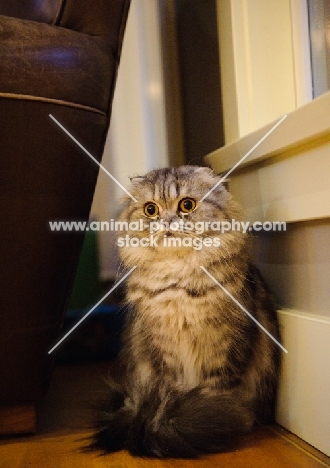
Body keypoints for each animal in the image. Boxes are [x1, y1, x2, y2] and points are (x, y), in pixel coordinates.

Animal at [89, 166, 282, 458]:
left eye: (187, 205)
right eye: (151, 210)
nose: (167, 222)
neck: (178, 284)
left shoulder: (225, 347)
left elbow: (216, 389)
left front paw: (215, 418)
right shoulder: (165, 353)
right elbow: (172, 390)